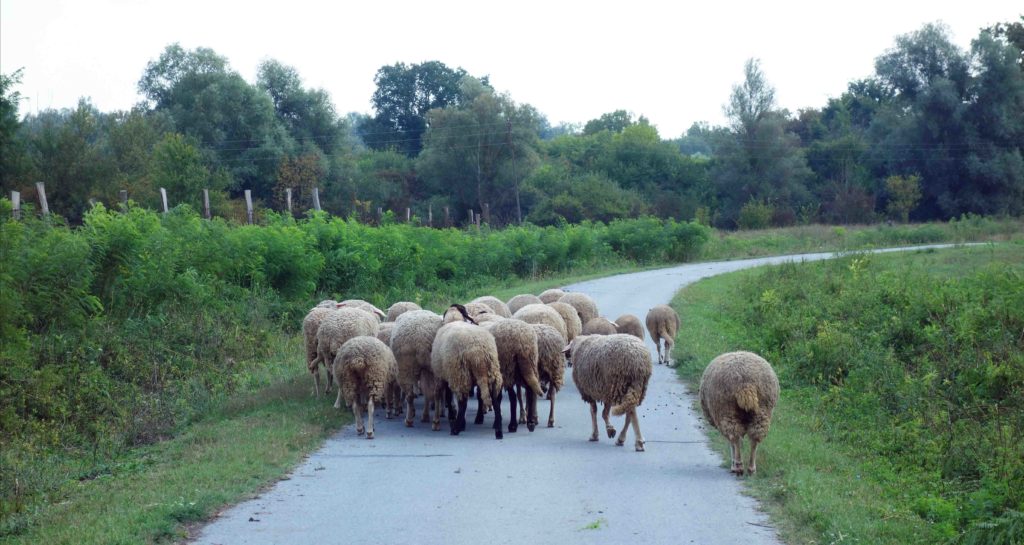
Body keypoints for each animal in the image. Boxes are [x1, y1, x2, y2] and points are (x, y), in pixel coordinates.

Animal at [428, 305, 503, 440]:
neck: (454, 319)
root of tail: (478, 351)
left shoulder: (444, 375)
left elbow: (449, 397)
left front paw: (453, 416)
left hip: (459, 373)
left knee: (463, 402)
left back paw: (456, 429)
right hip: (492, 371)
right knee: (495, 399)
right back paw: (498, 430)